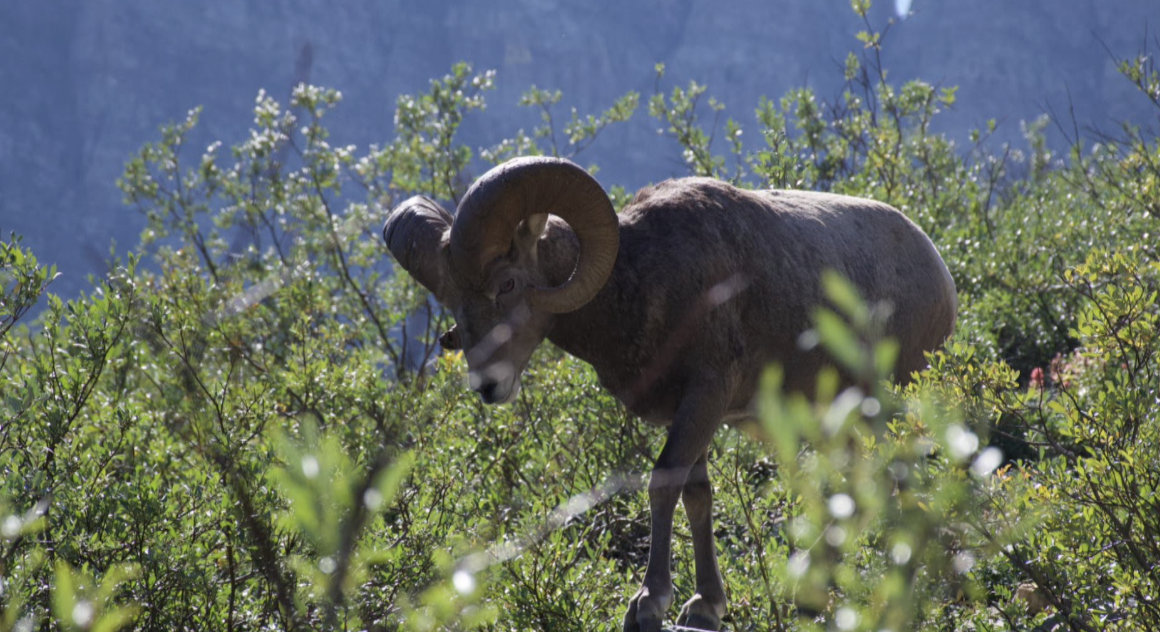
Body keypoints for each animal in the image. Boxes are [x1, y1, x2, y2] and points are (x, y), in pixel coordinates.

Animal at [385, 155, 955, 626]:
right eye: (450, 298)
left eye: (507, 283)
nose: (488, 385)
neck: (643, 281)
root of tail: (939, 273)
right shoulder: (691, 415)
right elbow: (697, 495)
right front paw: (705, 605)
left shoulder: (705, 396)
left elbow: (663, 484)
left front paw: (649, 602)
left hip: (887, 412)